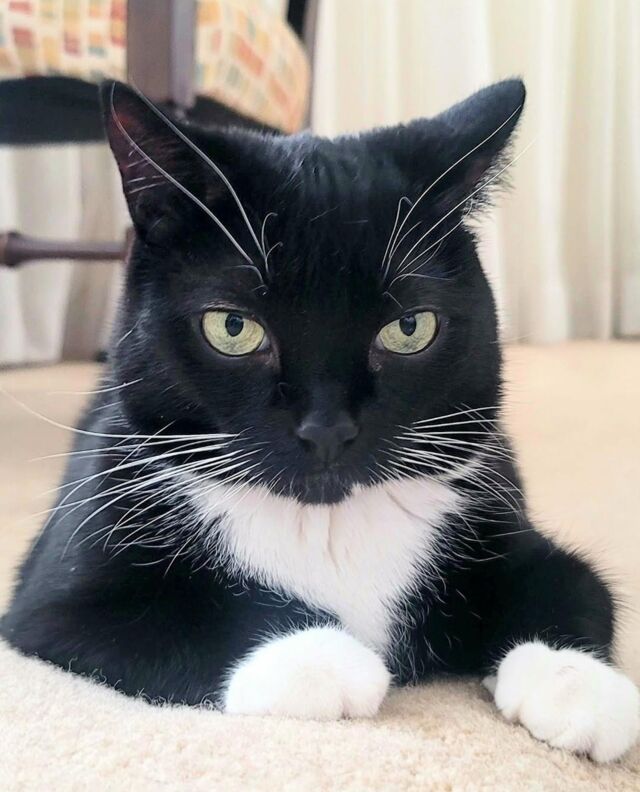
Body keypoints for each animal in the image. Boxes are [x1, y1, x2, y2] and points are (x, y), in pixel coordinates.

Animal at [2, 79, 638, 763]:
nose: (327, 428)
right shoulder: (55, 586)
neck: (327, 523)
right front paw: (317, 657)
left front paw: (578, 685)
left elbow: (574, 583)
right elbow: (153, 615)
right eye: (232, 327)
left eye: (410, 328)